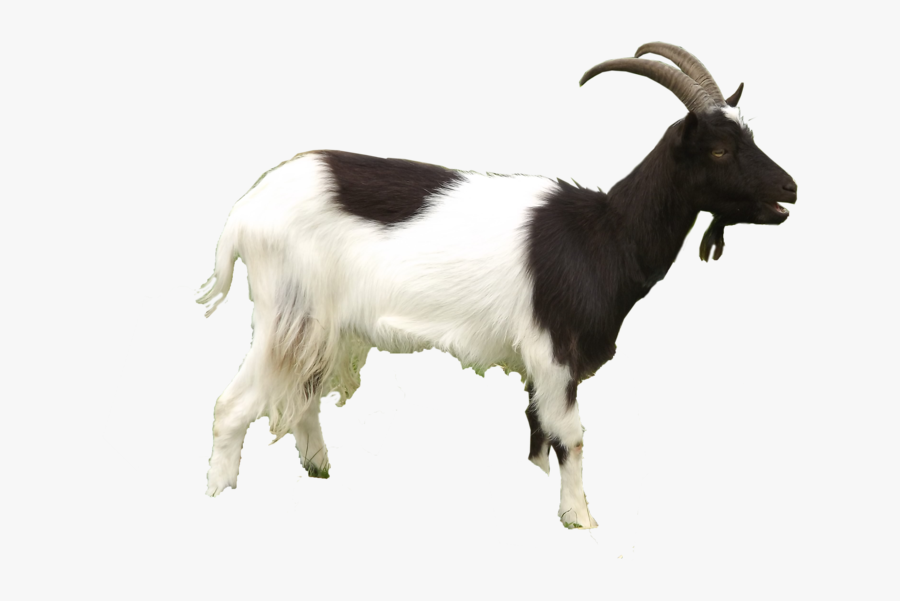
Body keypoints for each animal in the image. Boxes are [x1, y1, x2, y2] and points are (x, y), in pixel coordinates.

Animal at [198, 42, 797, 528]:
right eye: (719, 150)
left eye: (748, 136)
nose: (790, 188)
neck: (605, 234)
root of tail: (244, 212)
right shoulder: (554, 350)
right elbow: (570, 436)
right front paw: (579, 519)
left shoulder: (539, 363)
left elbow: (537, 432)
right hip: (289, 311)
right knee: (234, 405)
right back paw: (221, 495)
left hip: (325, 327)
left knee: (303, 400)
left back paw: (321, 469)